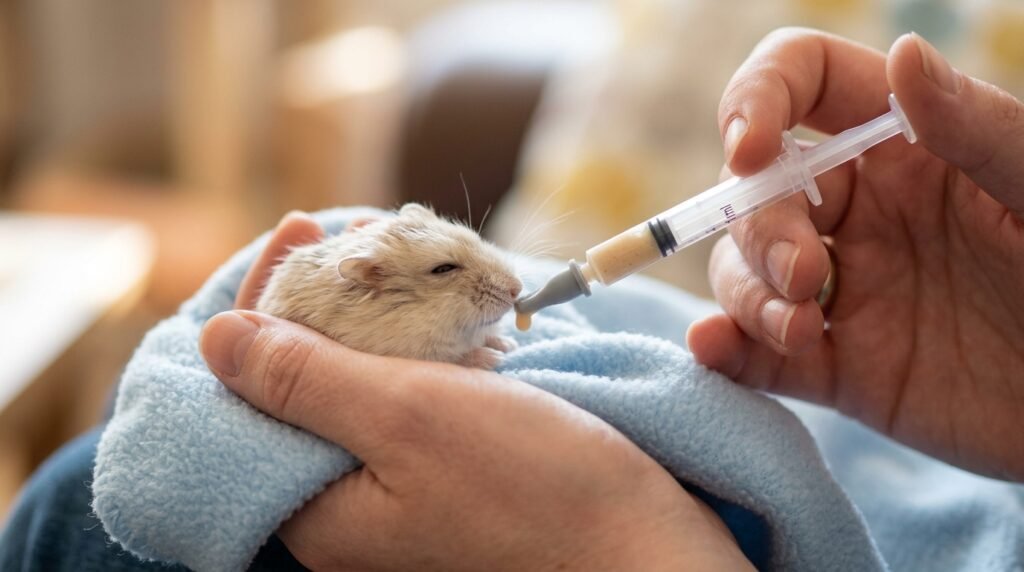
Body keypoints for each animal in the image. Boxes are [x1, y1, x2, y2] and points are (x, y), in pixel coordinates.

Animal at [256, 203, 523, 369]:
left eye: (477, 239)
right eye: (443, 269)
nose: (517, 289)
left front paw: (509, 344)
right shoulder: (420, 352)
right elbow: (456, 358)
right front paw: (495, 358)